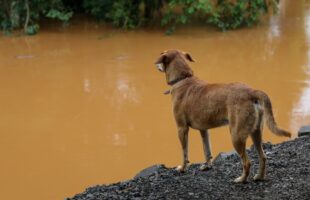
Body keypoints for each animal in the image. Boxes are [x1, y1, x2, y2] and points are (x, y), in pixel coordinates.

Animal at [155, 49, 290, 182]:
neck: (183, 79)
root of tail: (251, 92)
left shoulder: (182, 128)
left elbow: (184, 152)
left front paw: (182, 168)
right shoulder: (203, 129)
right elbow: (207, 150)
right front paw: (207, 166)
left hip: (236, 135)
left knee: (247, 162)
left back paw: (241, 179)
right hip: (256, 132)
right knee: (263, 157)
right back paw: (259, 176)